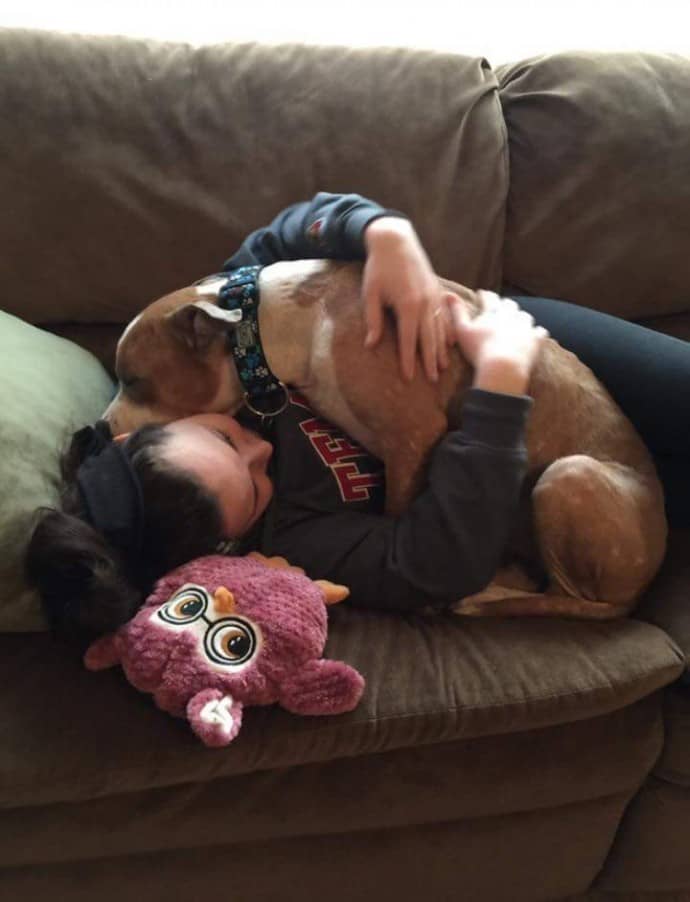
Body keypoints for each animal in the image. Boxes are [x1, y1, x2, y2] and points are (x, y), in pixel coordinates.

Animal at [103, 259, 668, 620]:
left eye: (133, 379)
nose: (103, 427)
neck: (271, 326)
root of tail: (646, 582)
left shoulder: (413, 439)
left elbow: (398, 517)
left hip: (568, 477)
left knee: (570, 597)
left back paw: (488, 596)